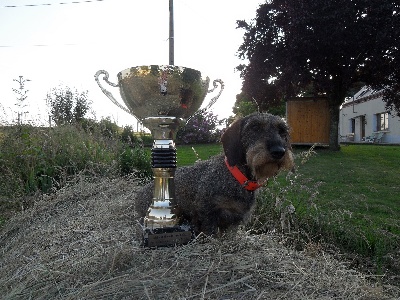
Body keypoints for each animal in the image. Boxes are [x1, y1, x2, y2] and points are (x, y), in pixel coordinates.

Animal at [136, 112, 296, 234]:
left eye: (282, 130)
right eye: (255, 127)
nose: (279, 151)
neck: (237, 177)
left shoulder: (235, 220)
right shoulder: (207, 213)